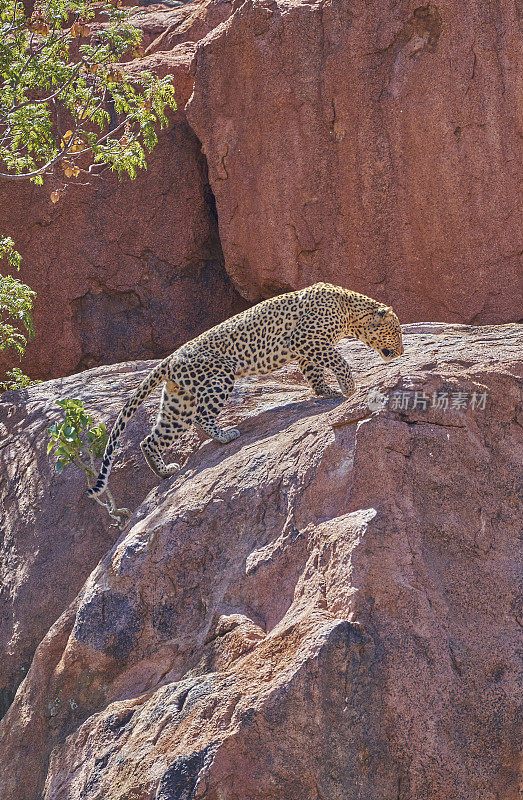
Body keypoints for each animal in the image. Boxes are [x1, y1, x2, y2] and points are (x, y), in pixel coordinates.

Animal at [88, 280, 404, 494]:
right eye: (397, 331)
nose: (401, 350)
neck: (350, 312)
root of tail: (171, 358)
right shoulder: (306, 340)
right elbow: (339, 360)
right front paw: (349, 387)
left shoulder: (307, 349)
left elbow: (314, 372)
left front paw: (328, 391)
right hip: (220, 376)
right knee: (202, 416)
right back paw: (226, 436)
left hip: (179, 401)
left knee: (150, 439)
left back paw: (165, 472)